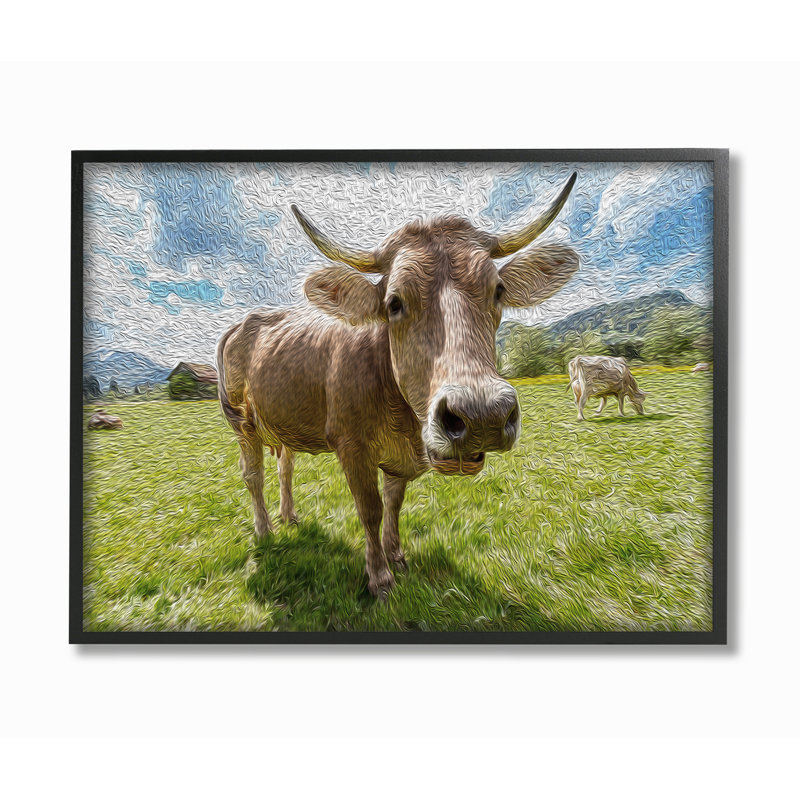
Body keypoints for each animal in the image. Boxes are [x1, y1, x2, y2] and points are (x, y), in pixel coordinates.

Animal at [217, 173, 579, 598]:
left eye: (499, 291)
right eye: (394, 303)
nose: (481, 415)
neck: (401, 419)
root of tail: (244, 321)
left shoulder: (401, 458)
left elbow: (394, 502)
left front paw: (396, 555)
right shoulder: (350, 445)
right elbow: (370, 509)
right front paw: (379, 576)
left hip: (281, 419)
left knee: (284, 467)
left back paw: (288, 515)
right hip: (241, 422)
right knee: (253, 475)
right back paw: (264, 529)